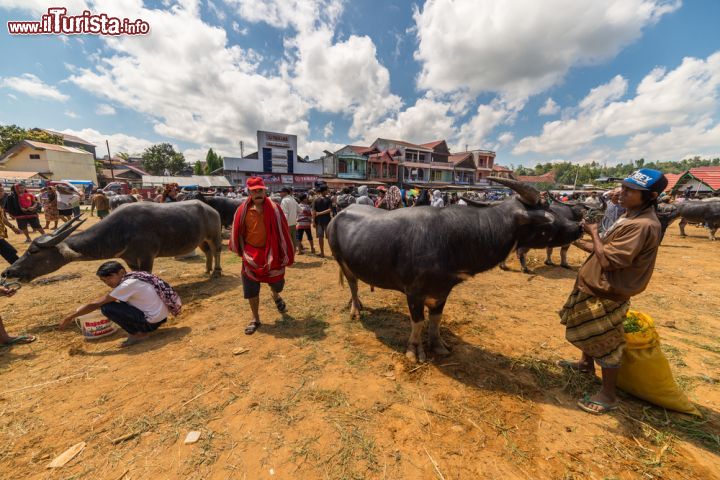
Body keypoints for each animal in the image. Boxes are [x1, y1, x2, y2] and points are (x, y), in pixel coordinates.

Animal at [2, 199, 222, 282]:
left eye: (34, 251)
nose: (8, 271)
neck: (119, 230)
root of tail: (209, 208)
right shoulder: (129, 258)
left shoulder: (147, 256)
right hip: (200, 239)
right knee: (207, 252)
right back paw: (207, 270)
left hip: (214, 234)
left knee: (217, 250)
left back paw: (217, 272)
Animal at [330, 178, 584, 362]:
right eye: (548, 217)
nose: (579, 226)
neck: (452, 238)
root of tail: (338, 215)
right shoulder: (413, 293)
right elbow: (417, 322)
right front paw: (415, 350)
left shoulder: (442, 291)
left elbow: (436, 320)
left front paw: (438, 345)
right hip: (341, 261)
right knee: (353, 284)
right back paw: (355, 309)